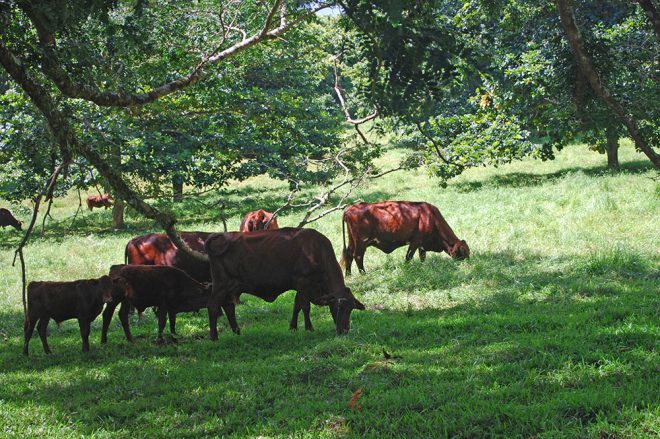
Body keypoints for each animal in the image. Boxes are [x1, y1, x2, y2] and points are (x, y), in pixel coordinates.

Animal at [205, 227, 366, 340]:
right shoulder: (303, 282)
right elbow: (305, 306)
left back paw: (237, 332)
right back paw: (214, 337)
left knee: (228, 307)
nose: (344, 330)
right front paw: (309, 328)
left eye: (351, 309)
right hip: (220, 286)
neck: (316, 250)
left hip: (230, 288)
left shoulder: (301, 287)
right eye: (339, 307)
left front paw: (293, 327)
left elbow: (297, 305)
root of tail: (221, 237)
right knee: (213, 306)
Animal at [340, 200, 470, 276]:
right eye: (462, 253)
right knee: (357, 256)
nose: (468, 264)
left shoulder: (421, 245)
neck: (430, 217)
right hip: (361, 242)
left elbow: (422, 257)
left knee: (349, 255)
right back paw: (363, 274)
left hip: (352, 241)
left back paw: (348, 275)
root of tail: (350, 208)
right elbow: (408, 257)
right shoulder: (415, 242)